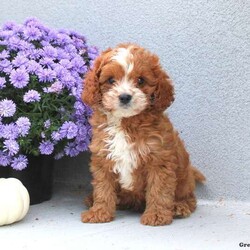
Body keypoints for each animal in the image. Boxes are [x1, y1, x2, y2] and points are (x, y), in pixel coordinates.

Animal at [81, 43, 204, 227]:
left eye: (140, 80)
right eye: (110, 80)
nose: (125, 97)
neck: (126, 122)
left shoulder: (159, 160)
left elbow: (159, 190)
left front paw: (157, 215)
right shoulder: (103, 156)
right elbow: (103, 188)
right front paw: (99, 212)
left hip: (184, 181)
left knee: (190, 198)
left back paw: (179, 207)